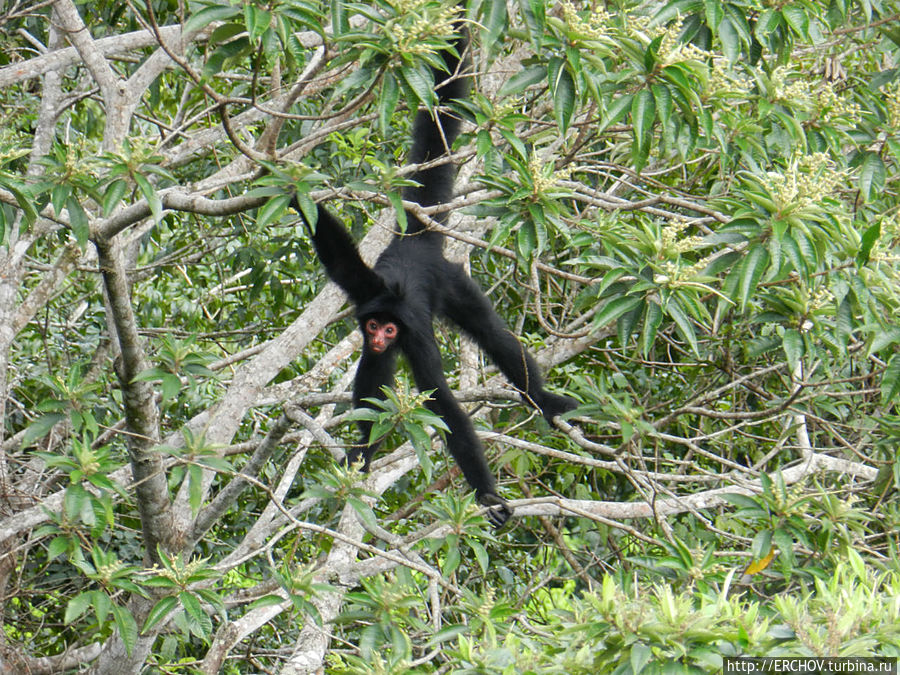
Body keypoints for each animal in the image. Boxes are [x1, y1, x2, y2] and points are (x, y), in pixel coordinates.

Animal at [296, 17, 576, 528]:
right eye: (374, 324)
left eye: (389, 327)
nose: (380, 336)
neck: (389, 301)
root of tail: (418, 242)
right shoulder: (363, 286)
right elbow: (335, 250)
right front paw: (285, 182)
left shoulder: (415, 335)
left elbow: (444, 404)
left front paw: (487, 495)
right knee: (374, 370)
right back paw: (362, 452)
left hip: (453, 282)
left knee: (492, 335)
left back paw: (541, 399)